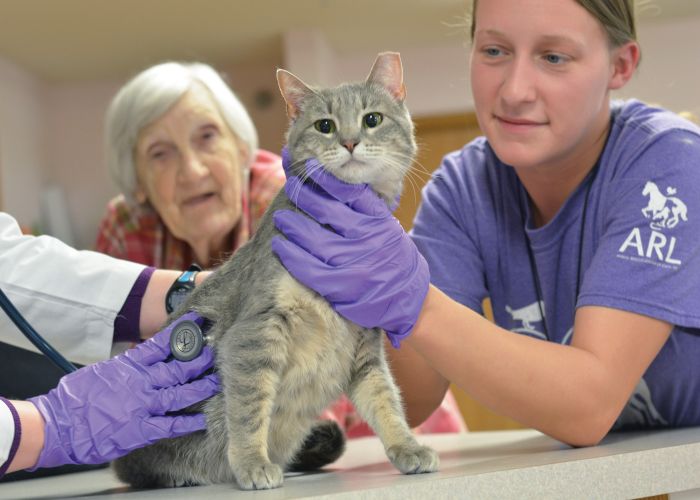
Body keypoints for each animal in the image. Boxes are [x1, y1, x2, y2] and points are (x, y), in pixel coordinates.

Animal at [113, 52, 438, 490]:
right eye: (324, 125)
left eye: (372, 119)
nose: (350, 141)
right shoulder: (255, 332)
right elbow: (249, 409)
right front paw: (252, 462)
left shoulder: (365, 350)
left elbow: (386, 402)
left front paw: (407, 447)